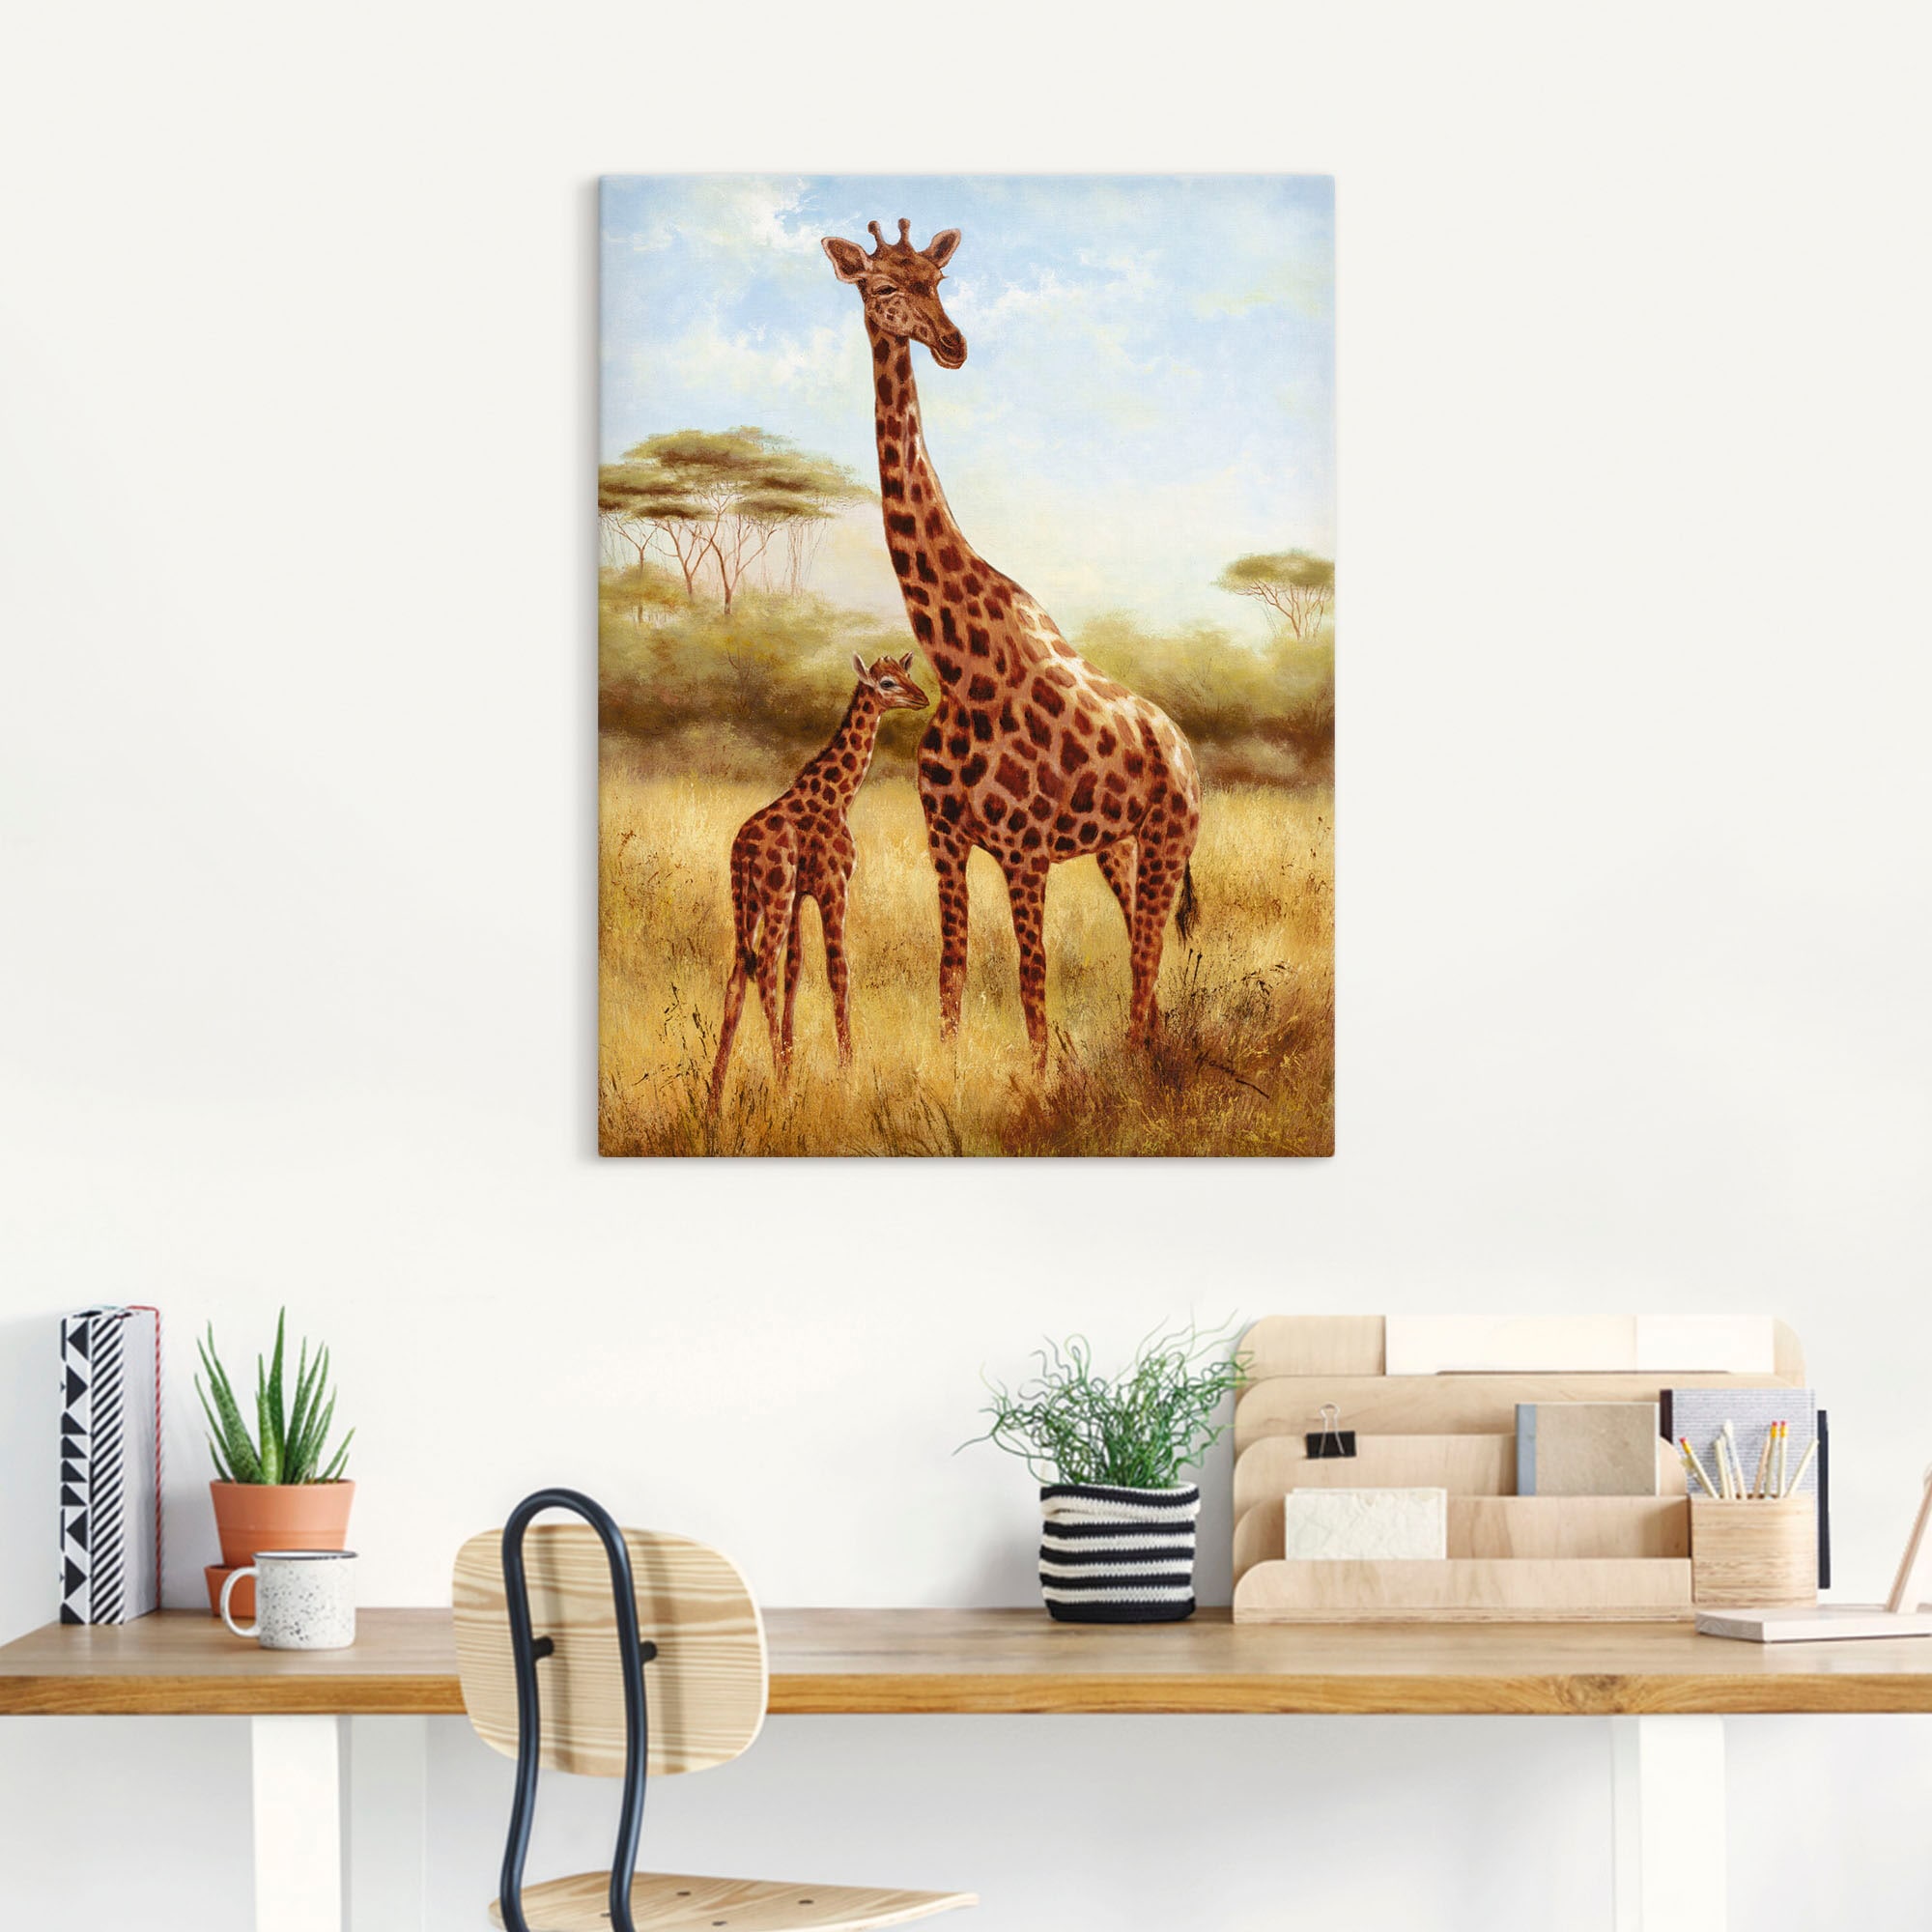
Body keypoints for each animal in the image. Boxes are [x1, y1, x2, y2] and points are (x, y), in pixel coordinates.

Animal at [708, 651, 928, 1110]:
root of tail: (741, 851)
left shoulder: (799, 896)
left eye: (906, 673)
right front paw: (847, 1072)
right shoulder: (833, 885)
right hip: (772, 895)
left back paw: (715, 1095)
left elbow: (796, 971)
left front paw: (794, 1062)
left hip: (748, 901)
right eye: (886, 683)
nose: (922, 698)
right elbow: (838, 970)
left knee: (738, 977)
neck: (840, 795)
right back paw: (777, 1084)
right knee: (763, 969)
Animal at [821, 218, 1201, 1066]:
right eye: (883, 286)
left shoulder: (1025, 848)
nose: (953, 344)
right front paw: (951, 1065)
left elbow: (1033, 973)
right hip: (1118, 847)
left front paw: (1040, 1078)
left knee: (1147, 952)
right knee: (1142, 949)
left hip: (1169, 837)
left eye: (938, 280)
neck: (961, 665)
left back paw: (1138, 1060)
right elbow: (953, 965)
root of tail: (1183, 748)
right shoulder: (946, 838)